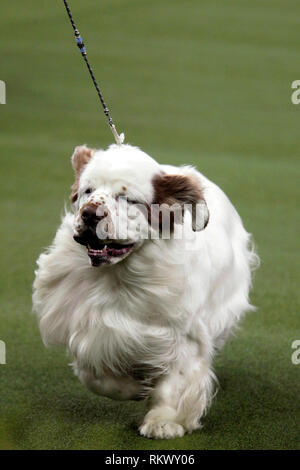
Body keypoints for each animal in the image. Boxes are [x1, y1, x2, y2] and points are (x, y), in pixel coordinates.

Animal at [32, 144, 258, 440]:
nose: (91, 213)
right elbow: (95, 376)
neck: (118, 277)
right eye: (87, 191)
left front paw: (164, 422)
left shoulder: (182, 334)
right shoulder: (91, 328)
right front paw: (134, 388)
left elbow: (176, 383)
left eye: (128, 199)